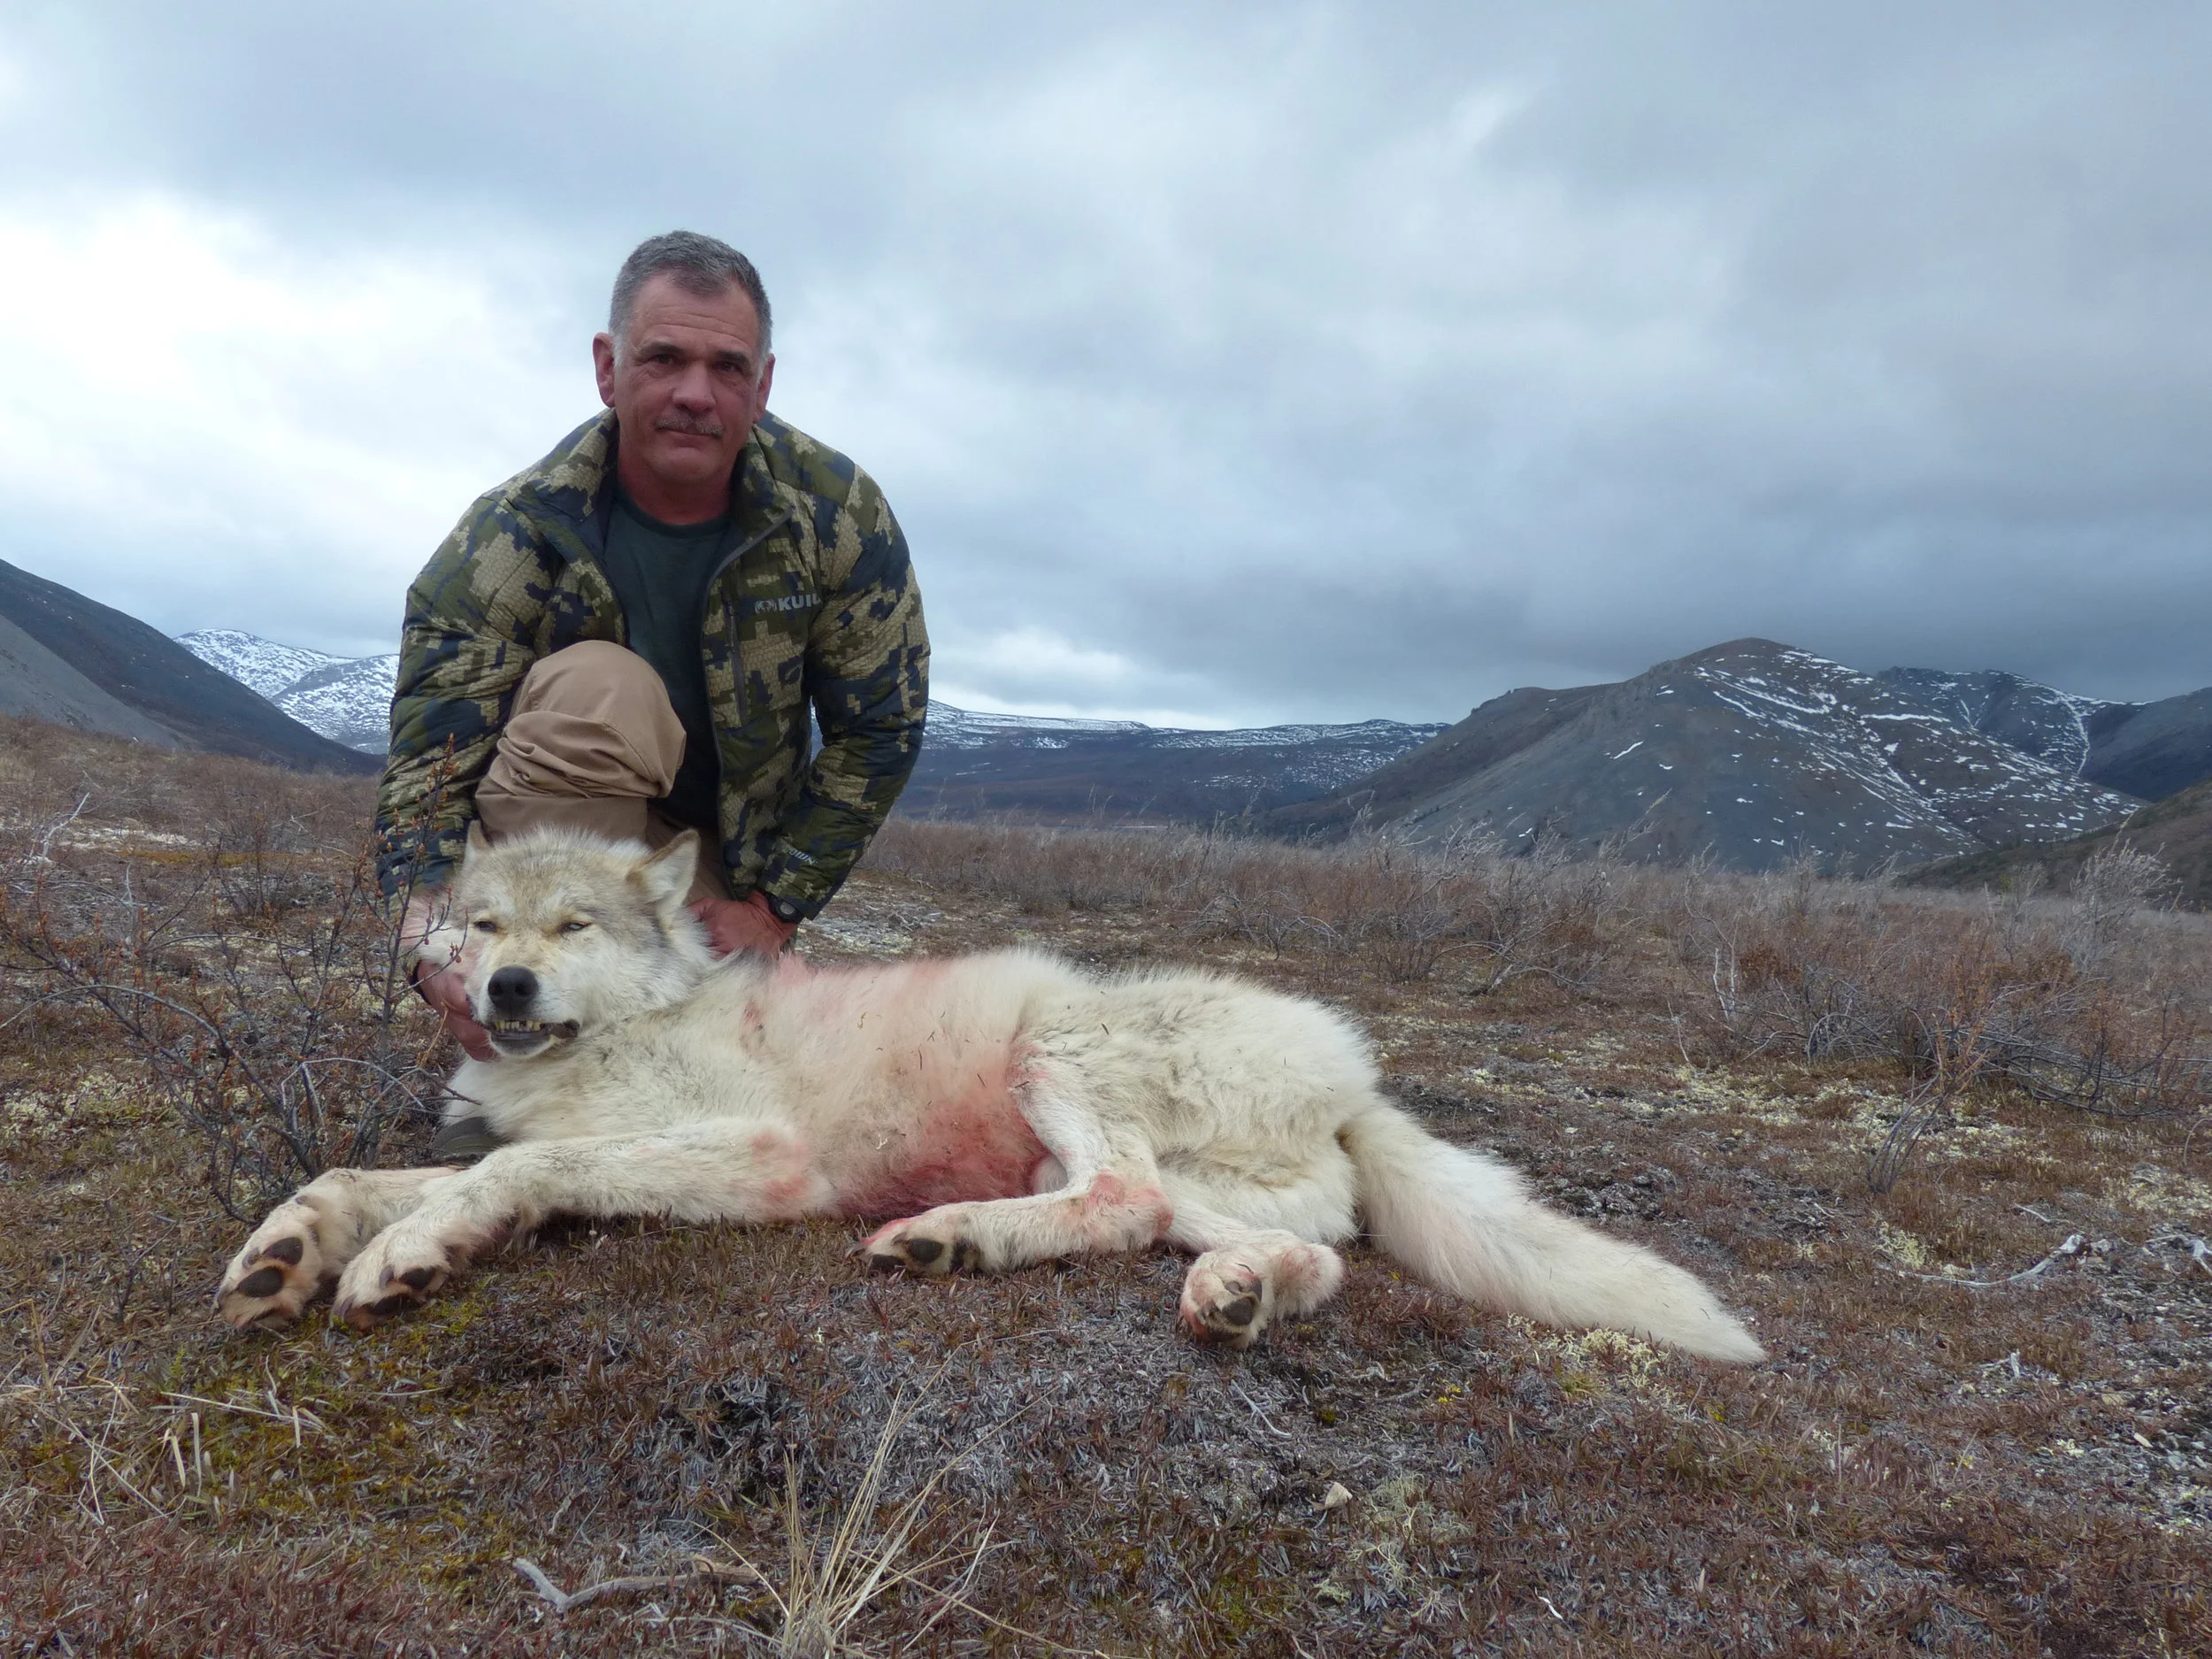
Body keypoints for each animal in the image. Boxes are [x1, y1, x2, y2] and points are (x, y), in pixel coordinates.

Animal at [214, 828, 1764, 1362]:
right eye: (483, 923)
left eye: (571, 925)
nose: (507, 988)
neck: (616, 1032)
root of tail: (1354, 1074)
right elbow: (349, 1175)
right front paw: (286, 1253)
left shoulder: (759, 1152)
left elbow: (502, 1171)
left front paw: (412, 1254)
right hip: (1192, 1182)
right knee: (1303, 1251)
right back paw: (1235, 1296)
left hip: (1056, 1056)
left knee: (1120, 1198)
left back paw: (947, 1238)